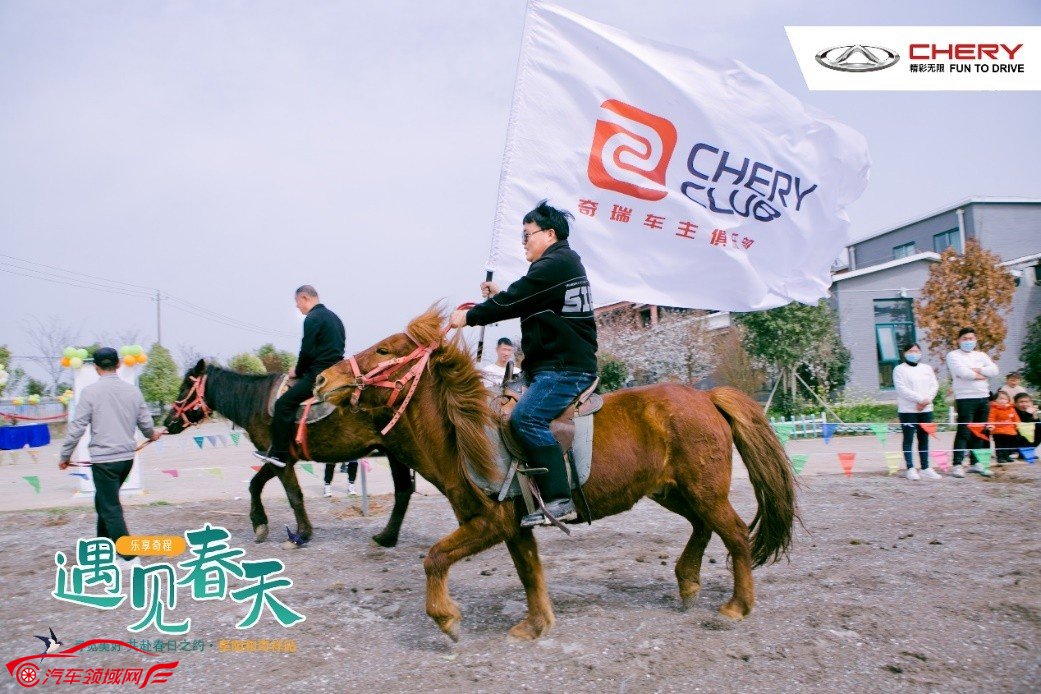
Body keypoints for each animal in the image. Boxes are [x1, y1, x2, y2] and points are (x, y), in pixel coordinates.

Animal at [162, 364, 414, 549]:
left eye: (185, 387)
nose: (168, 421)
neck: (256, 400)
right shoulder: (276, 458)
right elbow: (255, 485)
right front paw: (260, 524)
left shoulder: (281, 462)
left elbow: (293, 495)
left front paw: (301, 534)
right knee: (404, 491)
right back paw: (387, 537)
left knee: (403, 490)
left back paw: (387, 537)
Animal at [308, 307, 795, 640]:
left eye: (384, 350)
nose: (321, 381)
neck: (467, 434)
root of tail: (707, 397)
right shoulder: (514, 524)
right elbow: (530, 573)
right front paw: (536, 623)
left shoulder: (491, 522)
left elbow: (435, 557)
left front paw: (446, 618)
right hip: (674, 491)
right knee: (702, 526)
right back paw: (689, 582)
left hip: (704, 491)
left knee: (734, 533)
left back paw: (737, 605)